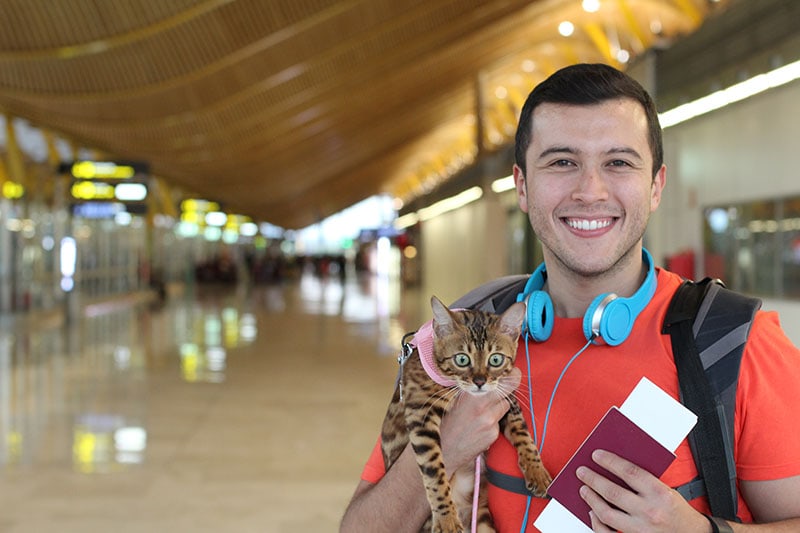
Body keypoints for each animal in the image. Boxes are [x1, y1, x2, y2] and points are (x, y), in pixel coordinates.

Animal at [380, 296, 552, 532]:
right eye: (462, 359)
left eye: (496, 359)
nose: (480, 381)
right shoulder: (421, 414)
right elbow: (434, 471)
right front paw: (446, 519)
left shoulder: (506, 398)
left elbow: (523, 435)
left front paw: (537, 471)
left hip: (482, 518)